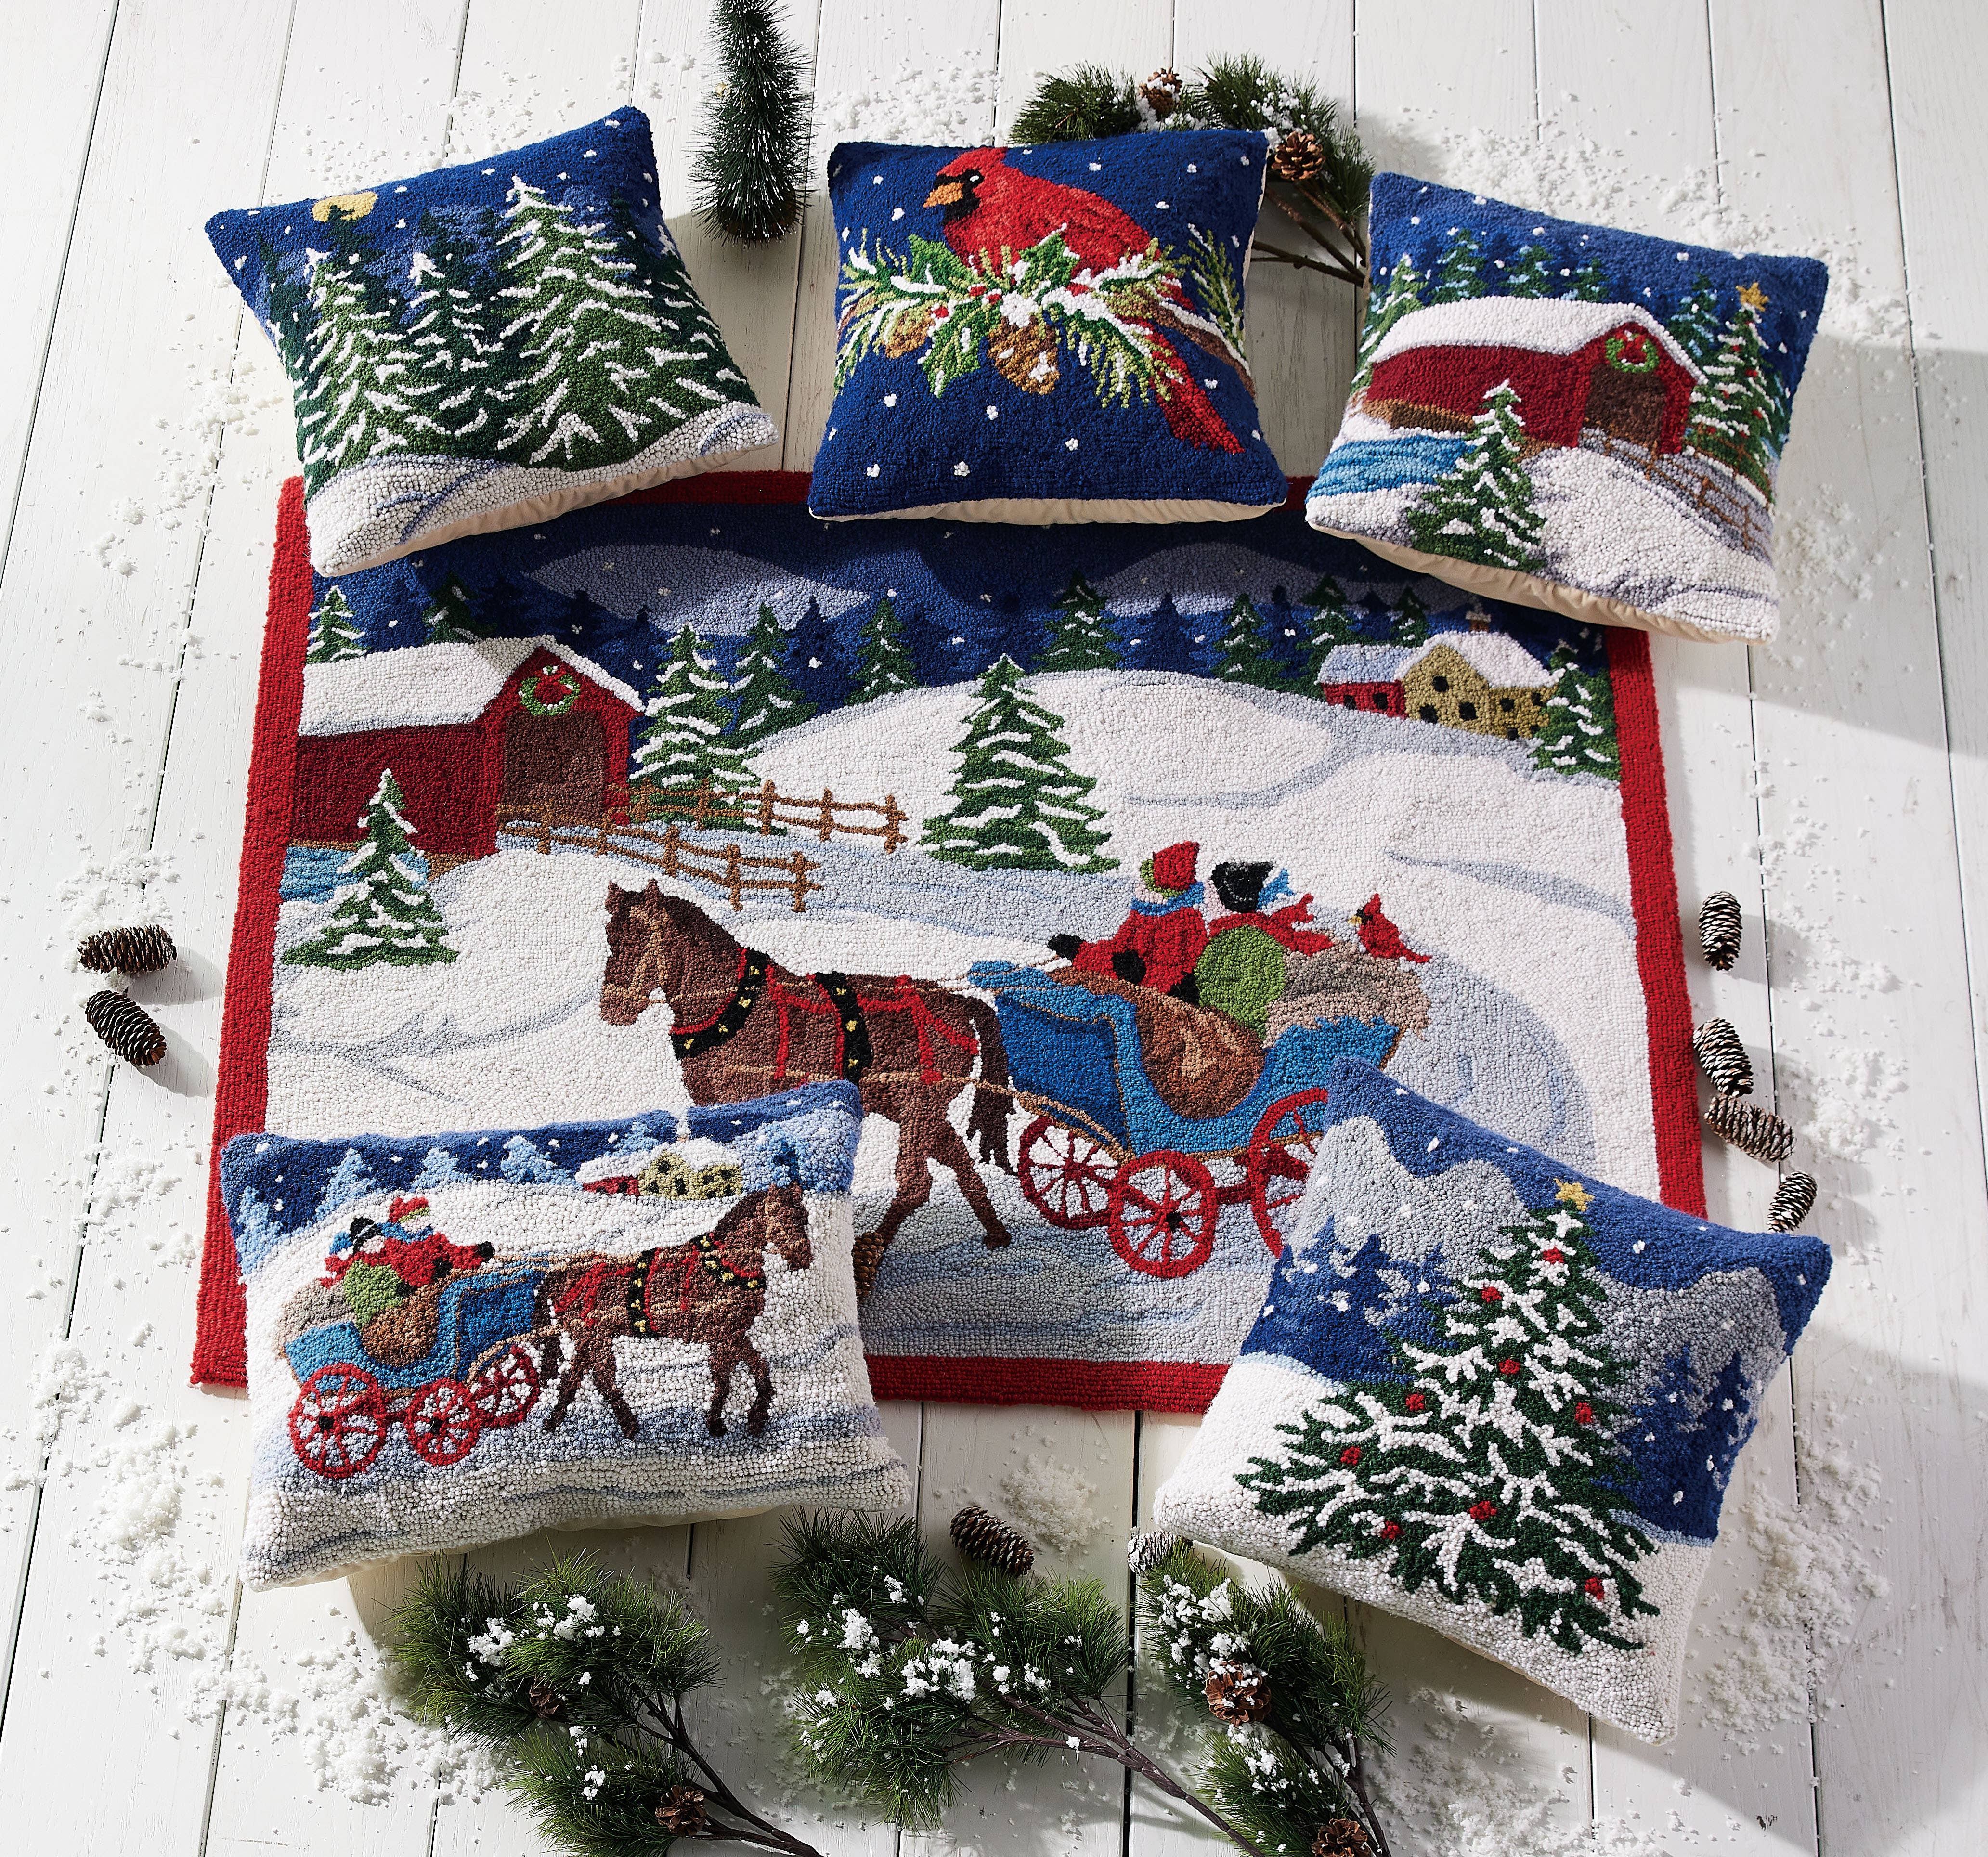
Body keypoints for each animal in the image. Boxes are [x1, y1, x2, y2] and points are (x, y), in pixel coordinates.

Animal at [532, 1184, 812, 1440]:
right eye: (782, 1216)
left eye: (805, 1216)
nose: (802, 1257)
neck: (724, 1265)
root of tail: (559, 1271)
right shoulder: (723, 1335)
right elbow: (723, 1379)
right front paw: (716, 1422)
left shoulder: (733, 1333)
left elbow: (759, 1371)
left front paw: (756, 1417)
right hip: (592, 1335)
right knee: (598, 1376)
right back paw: (623, 1424)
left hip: (591, 1336)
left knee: (579, 1376)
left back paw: (561, 1421)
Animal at [598, 881, 1015, 1297]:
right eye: (611, 939)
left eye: (642, 939)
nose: (613, 1008)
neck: (733, 1010)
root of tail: (957, 1002)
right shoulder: (718, 1107)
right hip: (914, 1109)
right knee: (960, 1162)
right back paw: (996, 1234)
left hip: (917, 1106)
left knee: (916, 1183)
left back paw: (866, 1259)